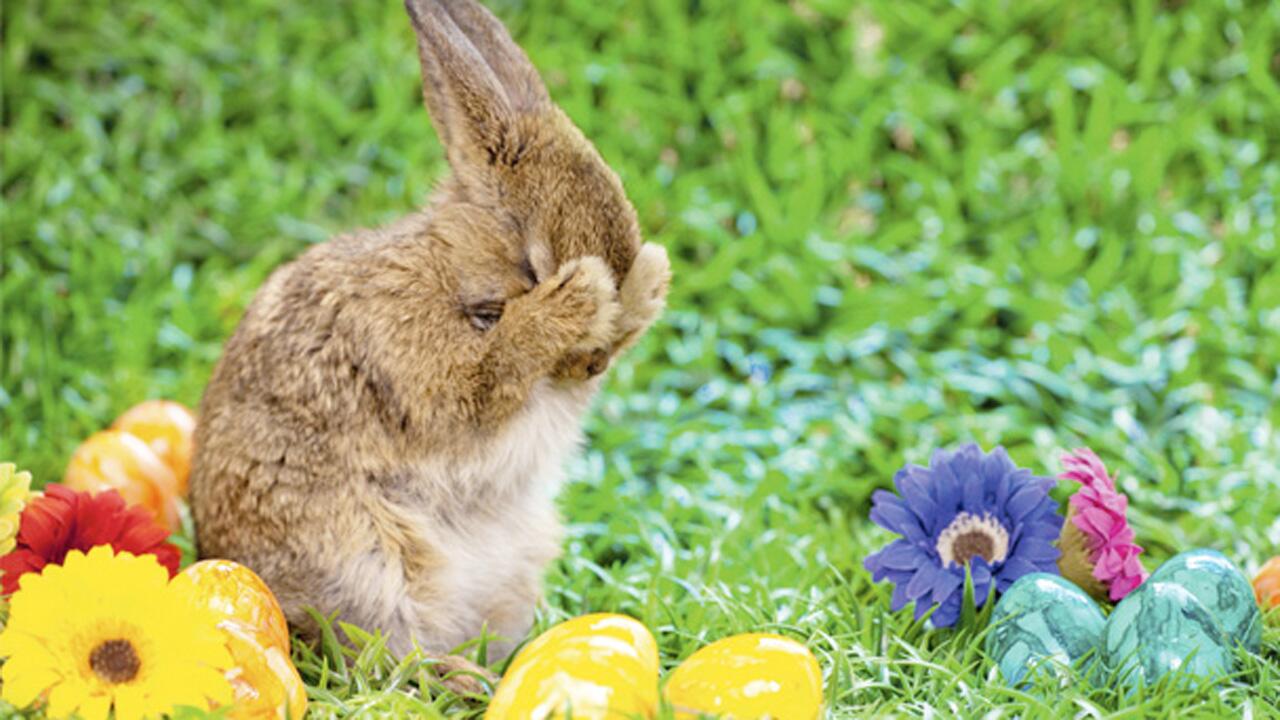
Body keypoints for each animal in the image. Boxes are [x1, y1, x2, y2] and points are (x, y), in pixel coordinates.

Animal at [189, 0, 670, 666]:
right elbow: (483, 382)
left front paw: (650, 282)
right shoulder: (416, 366)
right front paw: (572, 303)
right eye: (531, 265)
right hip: (365, 564)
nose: (591, 365)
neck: (453, 277)